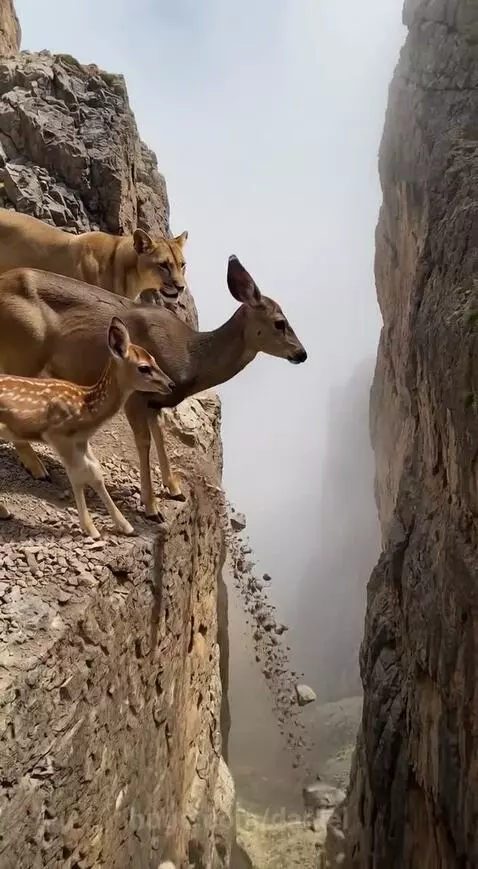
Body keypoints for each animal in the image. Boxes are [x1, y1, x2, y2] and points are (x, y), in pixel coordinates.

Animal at [0, 316, 174, 538]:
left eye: (155, 359)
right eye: (144, 367)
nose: (171, 384)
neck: (87, 407)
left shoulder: (82, 440)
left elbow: (96, 473)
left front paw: (125, 526)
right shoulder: (57, 435)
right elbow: (78, 475)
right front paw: (91, 529)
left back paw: (5, 512)